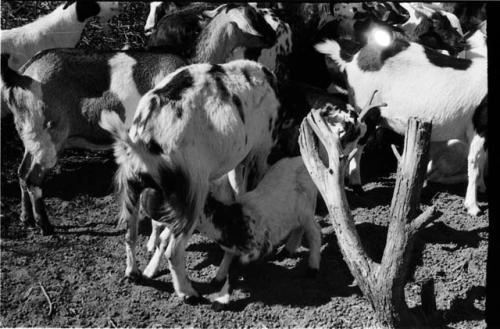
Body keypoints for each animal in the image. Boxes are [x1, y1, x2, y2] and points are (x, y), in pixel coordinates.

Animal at [98, 59, 282, 300]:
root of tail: (144, 139)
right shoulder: (257, 153)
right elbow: (242, 189)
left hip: (133, 187)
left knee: (131, 233)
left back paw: (133, 273)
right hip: (193, 191)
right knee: (174, 250)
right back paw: (187, 293)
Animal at [318, 29, 486, 217]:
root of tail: (354, 58)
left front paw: (482, 188)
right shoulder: (479, 126)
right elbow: (475, 163)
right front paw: (473, 207)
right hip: (367, 108)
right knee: (357, 147)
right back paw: (357, 186)